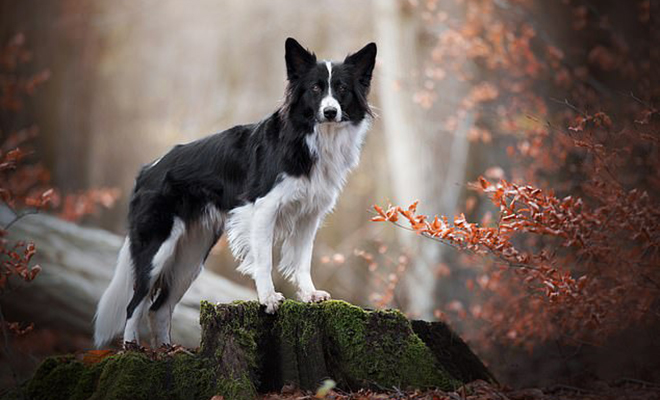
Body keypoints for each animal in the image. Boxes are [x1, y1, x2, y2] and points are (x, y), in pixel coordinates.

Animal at [95, 39, 378, 348]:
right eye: (315, 88)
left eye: (341, 88)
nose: (329, 112)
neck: (312, 137)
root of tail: (147, 170)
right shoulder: (263, 208)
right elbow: (264, 260)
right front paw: (268, 299)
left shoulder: (309, 215)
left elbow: (302, 260)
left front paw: (309, 294)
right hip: (157, 248)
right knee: (135, 304)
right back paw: (132, 348)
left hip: (191, 257)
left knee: (159, 308)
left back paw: (168, 352)